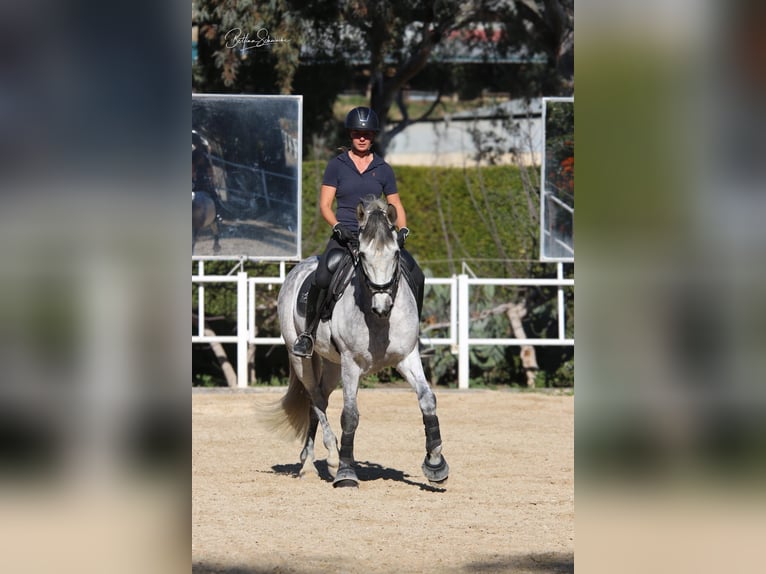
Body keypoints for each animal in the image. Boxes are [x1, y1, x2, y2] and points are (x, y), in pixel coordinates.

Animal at [274, 197, 450, 490]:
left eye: (396, 254)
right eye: (364, 256)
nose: (382, 306)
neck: (379, 321)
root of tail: (299, 267)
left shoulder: (407, 357)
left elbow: (427, 399)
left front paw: (436, 464)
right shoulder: (351, 363)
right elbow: (350, 415)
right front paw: (346, 472)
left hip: (332, 365)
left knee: (318, 400)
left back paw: (310, 463)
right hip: (302, 359)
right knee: (316, 398)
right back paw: (329, 460)